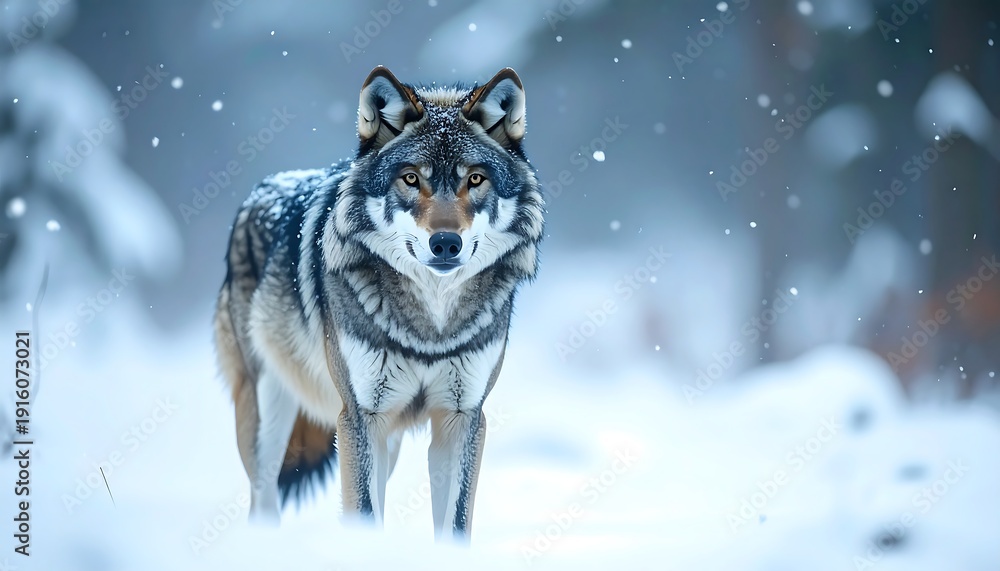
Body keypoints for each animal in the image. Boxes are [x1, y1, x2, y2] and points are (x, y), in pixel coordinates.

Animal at [213, 66, 543, 540]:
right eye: (411, 178)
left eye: (475, 179)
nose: (446, 243)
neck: (431, 323)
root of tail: (258, 192)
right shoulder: (359, 415)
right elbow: (364, 511)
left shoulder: (461, 416)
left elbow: (455, 521)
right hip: (267, 414)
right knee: (262, 497)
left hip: (390, 438)